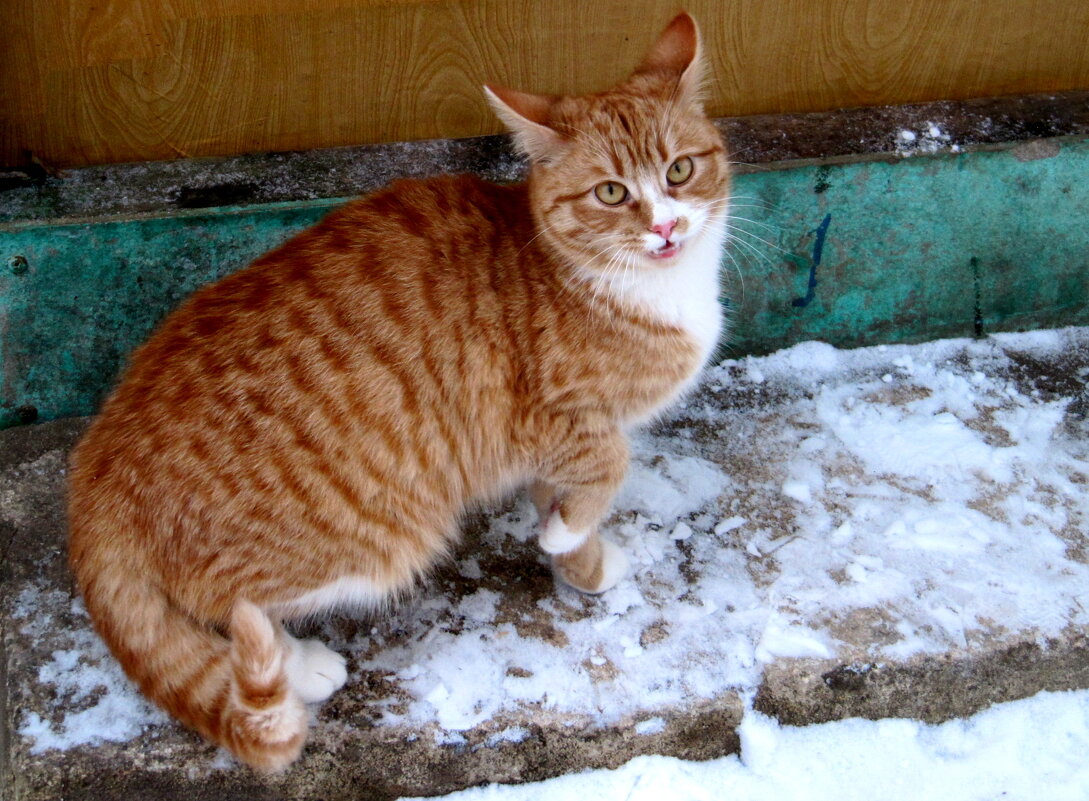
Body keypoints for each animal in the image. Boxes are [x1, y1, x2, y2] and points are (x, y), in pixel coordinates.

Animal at [65, 14, 731, 770]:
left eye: (679, 170)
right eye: (612, 193)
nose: (666, 226)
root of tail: (99, 460)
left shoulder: (552, 450)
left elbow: (567, 499)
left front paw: (578, 563)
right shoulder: (549, 422)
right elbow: (608, 465)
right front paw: (568, 533)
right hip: (385, 538)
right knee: (227, 609)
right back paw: (300, 664)